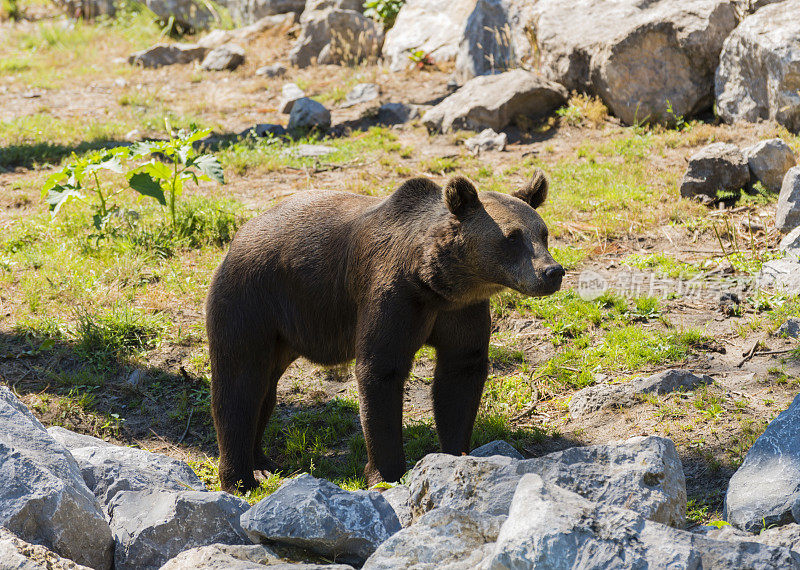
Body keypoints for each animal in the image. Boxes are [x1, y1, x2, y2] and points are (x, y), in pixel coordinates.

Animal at [209, 168, 564, 488]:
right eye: (512, 237)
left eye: (543, 233)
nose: (552, 272)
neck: (437, 284)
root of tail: (241, 234)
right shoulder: (394, 296)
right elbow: (381, 371)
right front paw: (387, 473)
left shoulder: (461, 312)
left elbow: (460, 375)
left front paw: (456, 453)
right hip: (252, 300)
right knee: (240, 382)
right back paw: (240, 478)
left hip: (283, 332)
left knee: (263, 390)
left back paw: (261, 462)